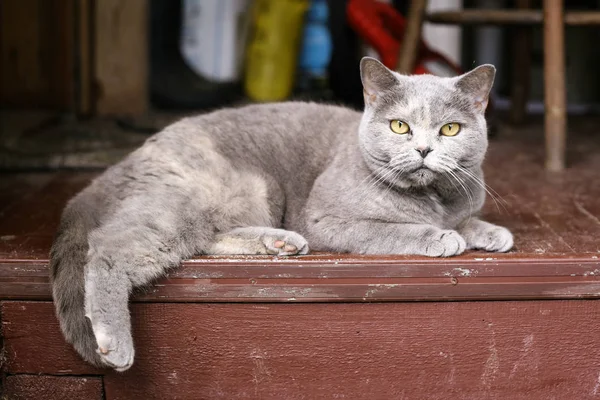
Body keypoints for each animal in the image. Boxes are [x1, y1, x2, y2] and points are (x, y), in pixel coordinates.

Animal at [49, 57, 512, 372]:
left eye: (450, 129)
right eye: (400, 126)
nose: (423, 149)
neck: (433, 196)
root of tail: (128, 159)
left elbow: (467, 218)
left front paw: (491, 232)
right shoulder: (326, 219)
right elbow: (395, 229)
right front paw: (441, 236)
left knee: (200, 240)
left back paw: (280, 242)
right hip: (235, 188)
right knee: (112, 245)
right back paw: (115, 342)